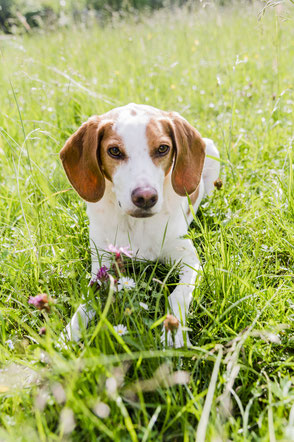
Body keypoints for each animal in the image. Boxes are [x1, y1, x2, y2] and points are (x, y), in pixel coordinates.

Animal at [59, 102, 219, 348]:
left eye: (162, 148)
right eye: (114, 151)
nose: (145, 197)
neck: (137, 224)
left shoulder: (190, 261)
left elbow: (178, 295)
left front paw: (173, 331)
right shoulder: (102, 266)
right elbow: (87, 302)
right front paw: (68, 335)